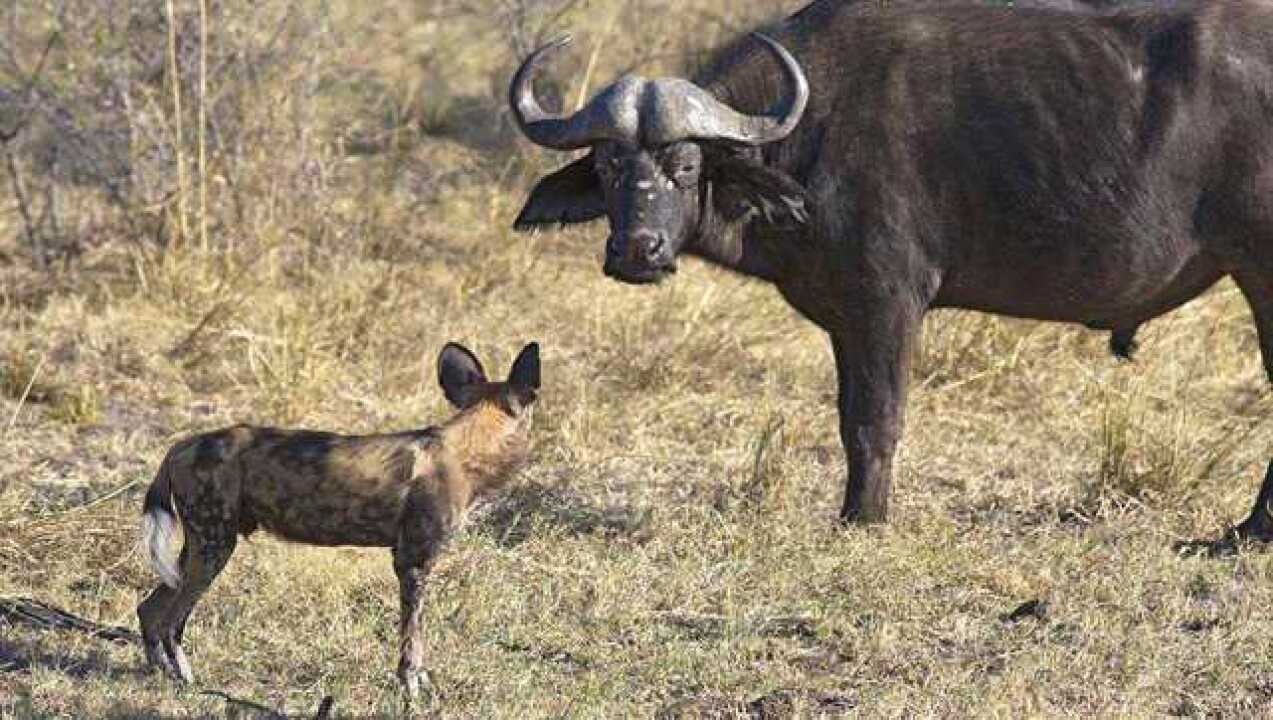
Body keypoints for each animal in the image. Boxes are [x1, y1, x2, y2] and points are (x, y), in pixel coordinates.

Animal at [136, 343, 539, 702]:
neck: (469, 445)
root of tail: (180, 446)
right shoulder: (412, 564)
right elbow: (412, 642)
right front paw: (410, 691)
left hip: (198, 551)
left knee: (149, 611)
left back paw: (160, 673)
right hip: (214, 549)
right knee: (171, 621)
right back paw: (186, 681)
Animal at [506, 0, 1273, 544]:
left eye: (687, 163)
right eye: (610, 163)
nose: (637, 250)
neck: (812, 130)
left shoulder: (886, 303)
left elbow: (875, 417)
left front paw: (864, 519)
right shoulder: (847, 319)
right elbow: (850, 417)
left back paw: (1248, 532)